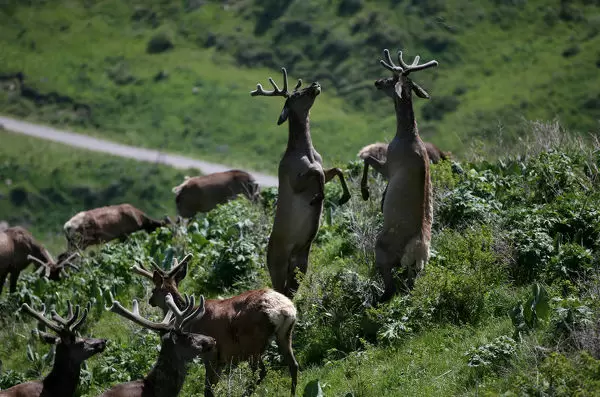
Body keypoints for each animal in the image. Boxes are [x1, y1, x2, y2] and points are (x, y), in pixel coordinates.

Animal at [132, 254, 298, 396]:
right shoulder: (222, 359)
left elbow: (208, 390)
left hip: (252, 343)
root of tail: (285, 310)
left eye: (153, 289)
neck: (188, 318)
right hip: (285, 334)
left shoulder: (211, 353)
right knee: (294, 365)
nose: (150, 301)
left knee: (261, 372)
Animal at [250, 67, 352, 296]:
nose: (315, 84)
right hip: (278, 263)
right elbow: (316, 172)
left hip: (300, 263)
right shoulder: (292, 179)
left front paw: (345, 196)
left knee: (290, 290)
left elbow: (336, 170)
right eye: (296, 95)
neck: (306, 153)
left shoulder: (323, 166)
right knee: (280, 289)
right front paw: (318, 197)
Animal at [360, 50, 440, 304]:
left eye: (392, 77)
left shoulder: (390, 165)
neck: (406, 135)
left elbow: (366, 159)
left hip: (383, 248)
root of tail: (418, 252)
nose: (377, 82)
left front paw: (367, 193)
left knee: (389, 286)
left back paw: (376, 298)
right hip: (417, 269)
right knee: (410, 285)